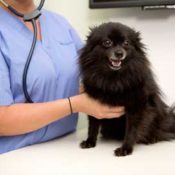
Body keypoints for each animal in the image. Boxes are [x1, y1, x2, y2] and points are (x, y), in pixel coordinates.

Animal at [79, 22, 175, 157]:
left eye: (126, 43)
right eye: (107, 42)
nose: (119, 53)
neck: (114, 79)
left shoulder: (136, 106)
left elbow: (131, 129)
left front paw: (126, 148)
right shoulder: (94, 104)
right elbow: (93, 125)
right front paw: (90, 141)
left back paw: (151, 138)